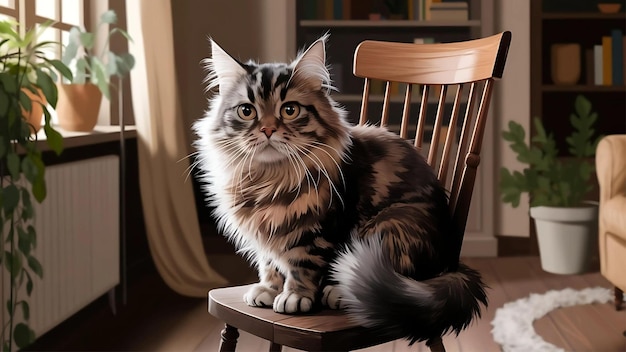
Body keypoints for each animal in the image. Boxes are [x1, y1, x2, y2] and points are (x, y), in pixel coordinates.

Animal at [193, 35, 486, 344]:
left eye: (290, 110)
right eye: (247, 111)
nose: (268, 130)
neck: (270, 178)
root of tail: (451, 262)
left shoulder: (319, 230)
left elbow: (303, 265)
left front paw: (294, 297)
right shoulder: (268, 230)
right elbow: (269, 262)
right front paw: (269, 289)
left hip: (389, 224)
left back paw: (337, 293)